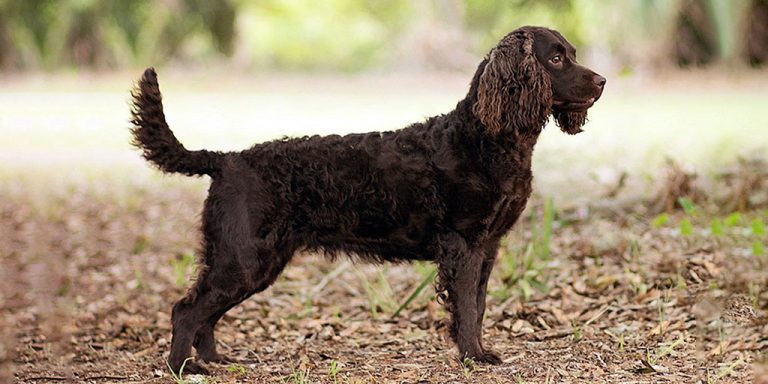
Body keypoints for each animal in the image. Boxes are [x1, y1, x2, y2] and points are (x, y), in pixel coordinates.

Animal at [130, 25, 608, 374]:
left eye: (572, 52)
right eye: (556, 57)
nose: (602, 80)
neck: (489, 138)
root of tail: (226, 160)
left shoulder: (487, 246)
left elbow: (479, 304)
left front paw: (475, 349)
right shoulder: (464, 245)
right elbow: (468, 309)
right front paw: (474, 356)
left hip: (252, 261)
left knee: (206, 314)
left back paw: (215, 360)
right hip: (243, 257)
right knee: (186, 310)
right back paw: (183, 368)